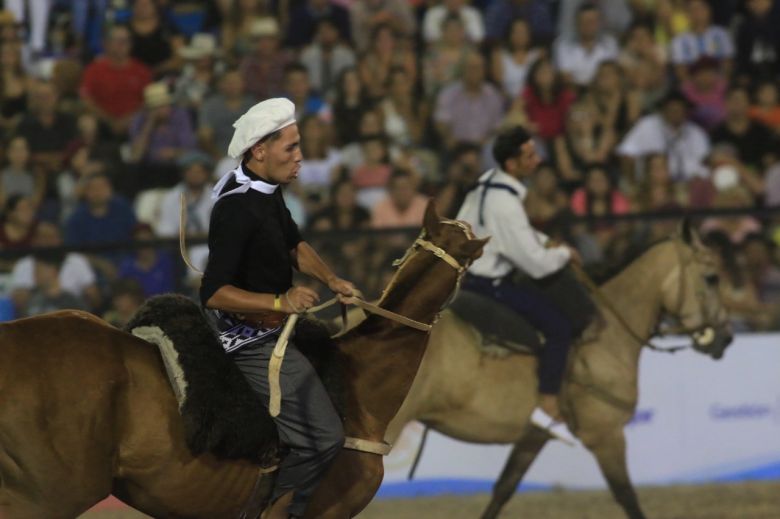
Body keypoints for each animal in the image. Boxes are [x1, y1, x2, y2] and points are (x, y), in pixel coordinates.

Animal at [386, 225, 736, 519]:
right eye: (712, 277)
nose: (726, 338)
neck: (607, 337)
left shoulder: (534, 437)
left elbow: (503, 490)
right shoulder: (606, 436)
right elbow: (627, 497)